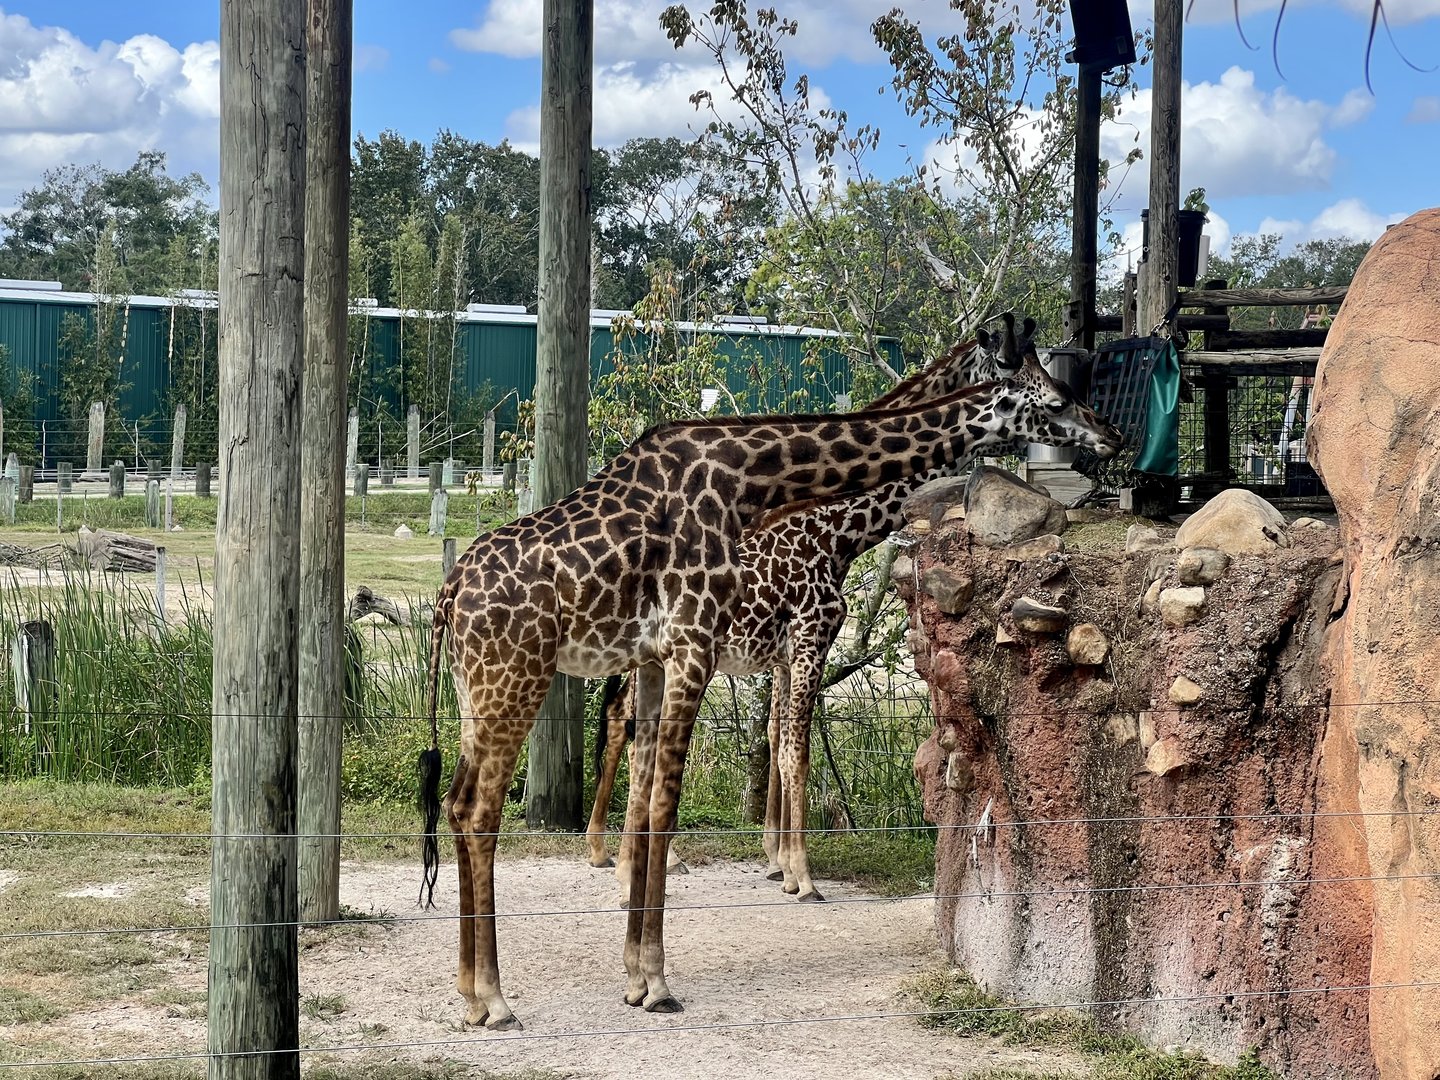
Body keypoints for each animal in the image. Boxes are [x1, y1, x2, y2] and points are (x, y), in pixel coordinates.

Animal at [585, 320, 1028, 897]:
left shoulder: (776, 652)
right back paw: (624, 859)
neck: (835, 531)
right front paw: (798, 872)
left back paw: (619, 856)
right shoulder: (803, 640)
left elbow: (778, 739)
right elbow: (795, 749)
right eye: (1007, 361)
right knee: (630, 722)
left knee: (628, 720)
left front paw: (775, 859)